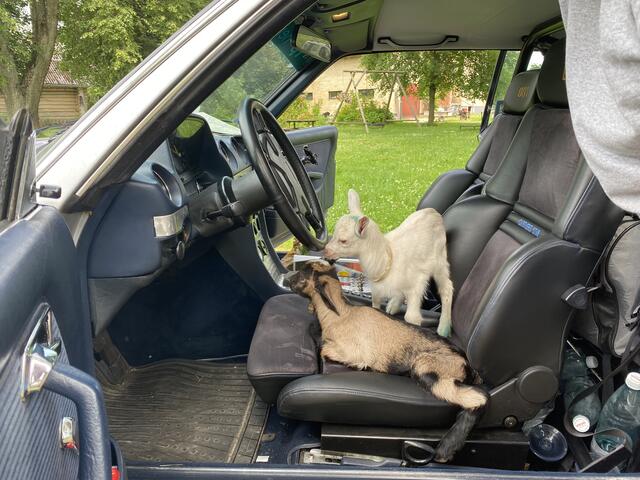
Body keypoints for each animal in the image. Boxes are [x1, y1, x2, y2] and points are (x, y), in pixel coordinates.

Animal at [286, 260, 488, 463]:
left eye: (302, 274)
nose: (288, 280)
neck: (340, 315)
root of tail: (467, 363)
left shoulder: (353, 352)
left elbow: (325, 349)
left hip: (428, 368)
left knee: (479, 398)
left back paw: (446, 448)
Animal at [324, 189, 453, 337]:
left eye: (343, 240)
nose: (326, 250)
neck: (386, 258)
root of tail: (434, 212)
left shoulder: (417, 283)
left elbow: (411, 317)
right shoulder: (377, 289)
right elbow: (375, 305)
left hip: (440, 259)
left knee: (447, 287)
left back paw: (443, 328)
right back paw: (393, 306)